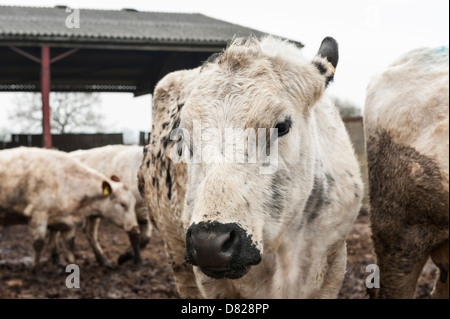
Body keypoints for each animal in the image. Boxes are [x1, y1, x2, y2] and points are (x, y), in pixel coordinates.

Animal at [0, 147, 141, 270]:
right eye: (122, 204)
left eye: (133, 203)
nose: (135, 228)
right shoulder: (38, 214)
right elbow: (38, 243)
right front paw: (36, 269)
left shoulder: (67, 221)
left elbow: (69, 245)